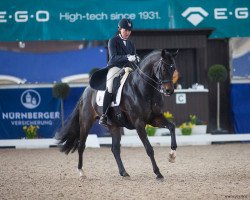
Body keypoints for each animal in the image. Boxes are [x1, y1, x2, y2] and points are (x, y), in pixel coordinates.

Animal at [58, 48, 178, 180]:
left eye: (173, 68)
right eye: (163, 69)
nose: (169, 91)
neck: (143, 89)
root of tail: (86, 91)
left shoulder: (154, 118)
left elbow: (171, 127)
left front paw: (172, 156)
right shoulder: (139, 123)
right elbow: (149, 149)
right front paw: (158, 173)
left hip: (114, 126)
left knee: (115, 149)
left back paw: (124, 173)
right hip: (86, 122)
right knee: (81, 145)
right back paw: (81, 172)